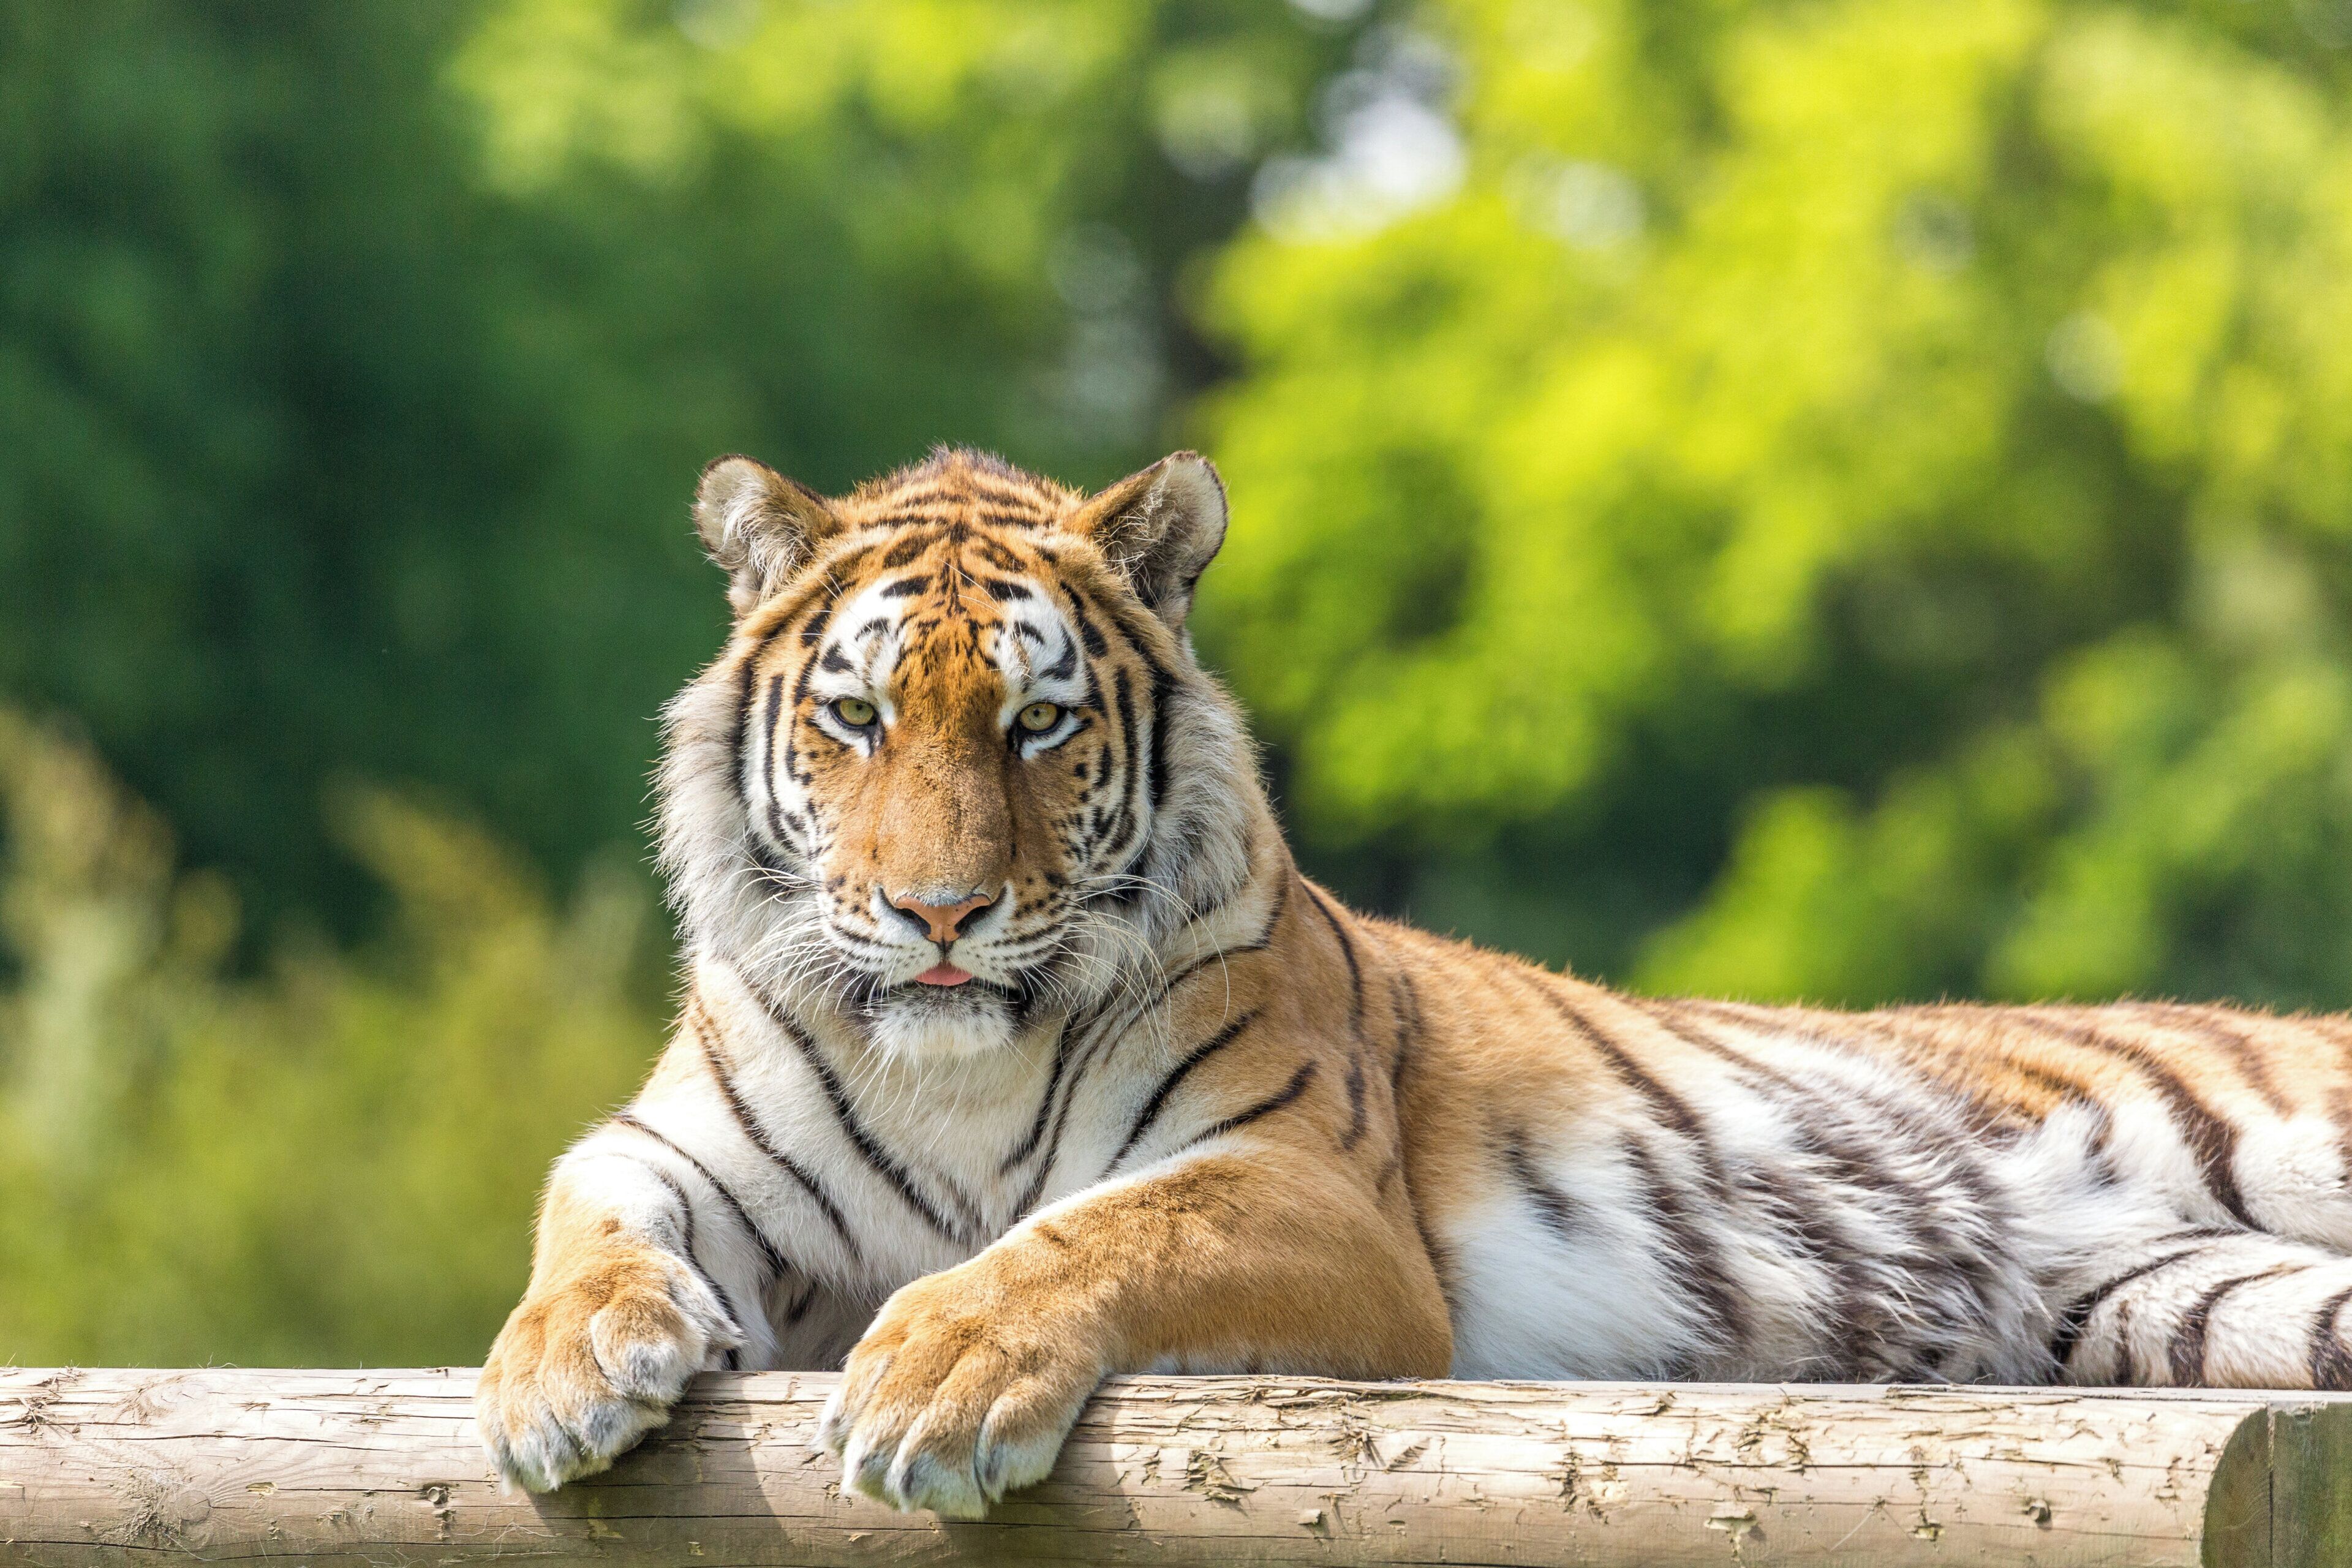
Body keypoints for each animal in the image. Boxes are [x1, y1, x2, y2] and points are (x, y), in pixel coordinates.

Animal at [478, 445, 2352, 1517]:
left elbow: (1088, 1232)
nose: (936, 913)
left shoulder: (1308, 1189)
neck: (953, 1058)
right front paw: (560, 1376)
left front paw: (936, 1370)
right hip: (2203, 1301)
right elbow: (584, 1211)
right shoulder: (684, 1147)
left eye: (1040, 719)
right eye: (857, 718)